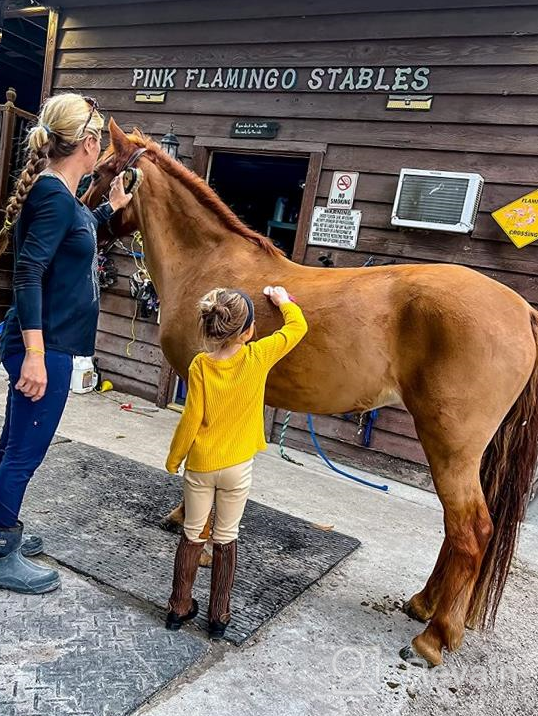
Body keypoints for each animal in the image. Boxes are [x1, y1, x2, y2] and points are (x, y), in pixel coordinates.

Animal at [85, 121, 536, 664]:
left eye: (100, 171)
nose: (84, 216)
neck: (209, 263)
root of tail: (522, 310)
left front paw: (190, 526)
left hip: (450, 443)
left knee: (471, 531)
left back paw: (433, 637)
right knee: (458, 531)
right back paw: (424, 605)